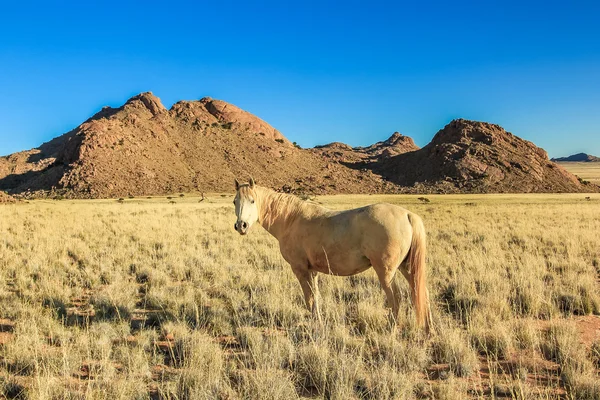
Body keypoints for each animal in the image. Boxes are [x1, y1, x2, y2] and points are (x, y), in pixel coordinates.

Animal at [233, 179, 432, 332]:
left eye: (252, 201)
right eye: (235, 201)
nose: (241, 226)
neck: (290, 219)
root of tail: (407, 214)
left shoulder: (300, 269)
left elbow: (309, 298)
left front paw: (315, 325)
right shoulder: (312, 271)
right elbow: (315, 298)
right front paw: (319, 322)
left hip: (386, 271)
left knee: (396, 298)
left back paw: (391, 329)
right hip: (406, 267)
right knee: (421, 292)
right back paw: (428, 330)